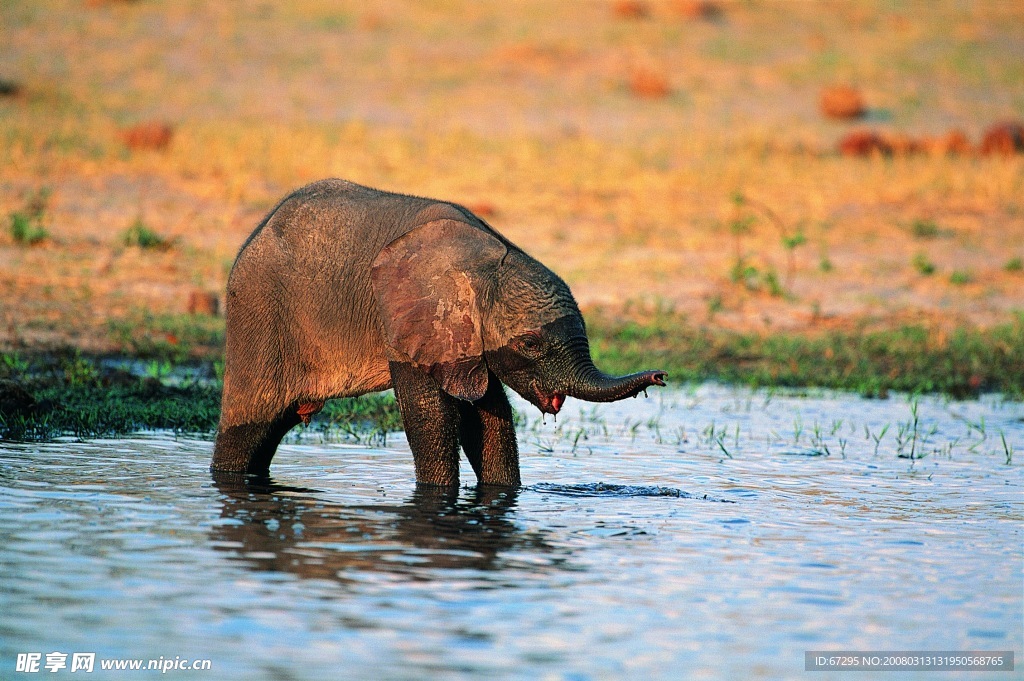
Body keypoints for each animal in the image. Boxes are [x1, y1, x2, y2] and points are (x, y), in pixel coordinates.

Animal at [211, 175, 667, 483]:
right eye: (530, 344)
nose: (661, 377)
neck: (488, 262)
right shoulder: (407, 322)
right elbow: (431, 417)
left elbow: (488, 418)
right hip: (258, 313)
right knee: (251, 424)